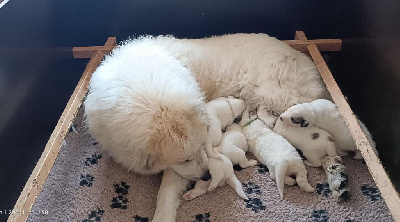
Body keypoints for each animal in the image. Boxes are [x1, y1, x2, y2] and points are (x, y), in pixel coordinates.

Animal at [84, 33, 328, 221]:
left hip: (280, 97)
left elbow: (166, 191)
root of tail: (302, 58)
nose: (204, 175)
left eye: (202, 145)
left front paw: (162, 215)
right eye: (184, 158)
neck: (141, 83)